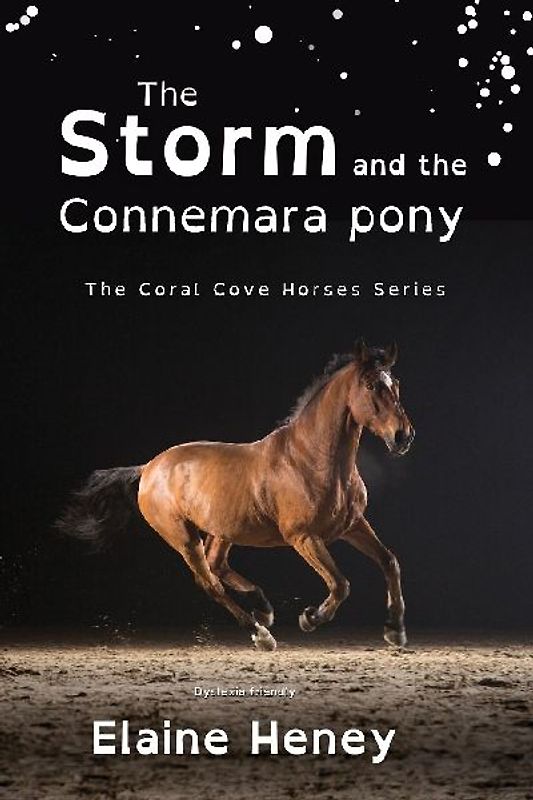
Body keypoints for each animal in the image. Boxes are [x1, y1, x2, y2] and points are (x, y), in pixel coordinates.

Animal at [57, 339, 415, 651]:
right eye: (370, 385)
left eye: (395, 383)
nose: (403, 436)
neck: (311, 459)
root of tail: (149, 468)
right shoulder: (304, 537)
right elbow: (340, 584)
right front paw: (310, 618)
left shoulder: (352, 525)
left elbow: (390, 561)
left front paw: (395, 630)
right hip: (183, 537)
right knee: (209, 582)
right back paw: (260, 633)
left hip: (221, 530)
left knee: (217, 565)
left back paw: (263, 607)